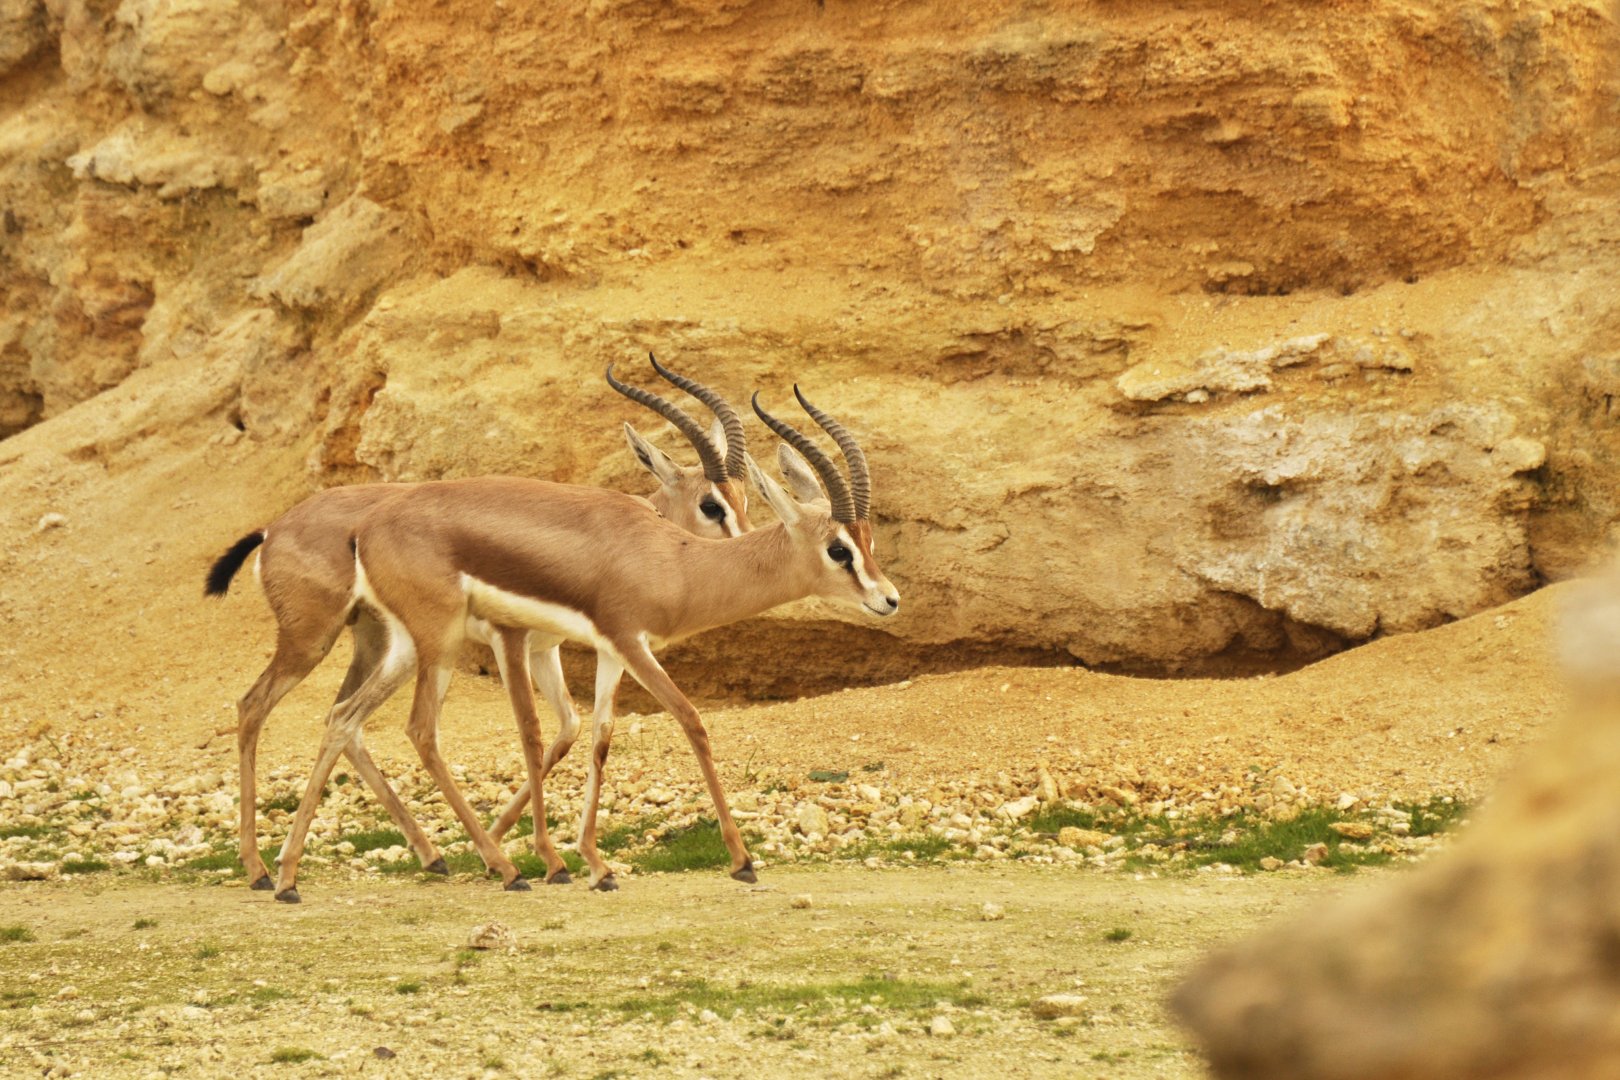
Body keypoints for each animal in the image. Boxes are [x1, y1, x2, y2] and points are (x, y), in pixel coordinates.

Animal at [205, 359, 752, 893]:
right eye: (710, 505)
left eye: (745, 499)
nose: (743, 551)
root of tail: (274, 529)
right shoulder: (514, 641)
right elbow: (533, 732)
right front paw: (547, 858)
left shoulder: (559, 648)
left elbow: (579, 730)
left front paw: (524, 843)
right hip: (321, 641)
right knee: (264, 708)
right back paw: (262, 869)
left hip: (388, 647)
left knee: (343, 719)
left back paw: (407, 858)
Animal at [267, 379, 898, 902]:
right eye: (838, 548)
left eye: (868, 538)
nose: (889, 599)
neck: (675, 562)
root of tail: (366, 529)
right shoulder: (619, 642)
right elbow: (689, 721)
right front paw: (741, 861)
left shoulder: (611, 651)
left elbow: (597, 737)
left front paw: (595, 864)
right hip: (436, 644)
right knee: (418, 730)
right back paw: (503, 869)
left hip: (403, 647)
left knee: (344, 717)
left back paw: (291, 874)